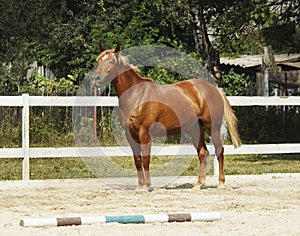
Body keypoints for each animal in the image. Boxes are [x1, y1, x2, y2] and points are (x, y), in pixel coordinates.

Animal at [92, 44, 241, 191]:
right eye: (98, 61)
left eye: (111, 62)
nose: (95, 79)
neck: (136, 95)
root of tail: (214, 89)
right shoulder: (130, 134)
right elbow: (137, 160)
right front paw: (140, 186)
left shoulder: (144, 133)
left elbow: (145, 159)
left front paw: (147, 186)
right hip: (196, 129)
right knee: (203, 153)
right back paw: (198, 184)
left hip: (213, 128)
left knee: (219, 150)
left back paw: (221, 183)